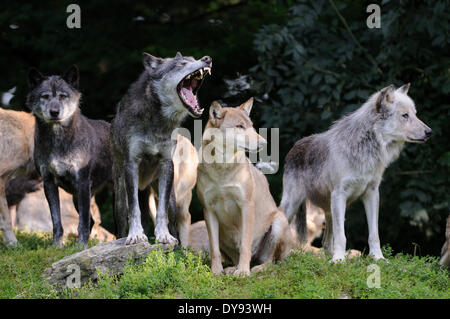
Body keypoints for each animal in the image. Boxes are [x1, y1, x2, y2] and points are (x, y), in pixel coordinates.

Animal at [26, 65, 113, 250]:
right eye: (45, 96)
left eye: (63, 96)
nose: (54, 112)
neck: (58, 141)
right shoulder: (48, 183)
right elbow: (56, 221)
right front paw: (57, 246)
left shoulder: (83, 182)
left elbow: (82, 223)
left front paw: (81, 247)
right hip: (76, 198)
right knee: (92, 221)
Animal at [111, 51, 212, 246]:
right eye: (180, 64)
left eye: (193, 59)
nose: (207, 59)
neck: (157, 120)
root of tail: (144, 184)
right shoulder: (131, 164)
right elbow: (134, 210)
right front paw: (136, 235)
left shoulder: (167, 164)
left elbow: (162, 212)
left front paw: (163, 236)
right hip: (120, 197)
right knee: (122, 222)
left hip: (172, 199)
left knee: (173, 219)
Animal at [197, 99, 296, 276]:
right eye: (239, 126)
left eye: (251, 125)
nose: (264, 142)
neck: (222, 168)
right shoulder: (208, 210)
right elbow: (214, 249)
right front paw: (216, 272)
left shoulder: (246, 206)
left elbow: (245, 245)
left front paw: (243, 272)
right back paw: (232, 268)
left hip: (278, 221)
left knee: (271, 261)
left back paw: (256, 268)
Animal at [282, 84, 432, 262]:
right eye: (405, 115)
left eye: (415, 114)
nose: (429, 132)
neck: (366, 150)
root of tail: (295, 145)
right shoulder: (339, 194)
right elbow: (342, 235)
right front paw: (339, 260)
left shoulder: (372, 193)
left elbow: (374, 234)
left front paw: (378, 258)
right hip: (293, 204)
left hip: (329, 210)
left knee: (326, 241)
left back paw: (328, 257)